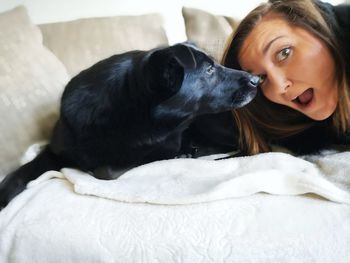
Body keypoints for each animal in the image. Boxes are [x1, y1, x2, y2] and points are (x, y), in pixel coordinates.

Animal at [0, 43, 258, 209]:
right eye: (210, 70)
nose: (257, 79)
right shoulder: (54, 152)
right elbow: (21, 171)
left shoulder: (161, 148)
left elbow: (106, 170)